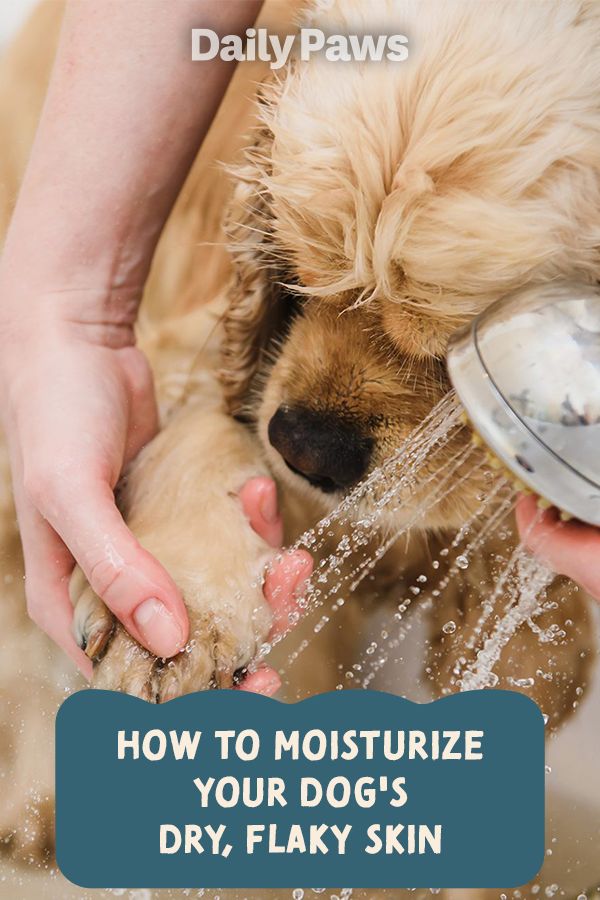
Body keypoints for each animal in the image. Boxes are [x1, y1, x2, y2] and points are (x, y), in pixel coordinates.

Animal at [1, 1, 600, 892]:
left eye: (455, 347)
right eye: (300, 271)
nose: (305, 448)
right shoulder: (205, 357)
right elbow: (202, 434)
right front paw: (177, 624)